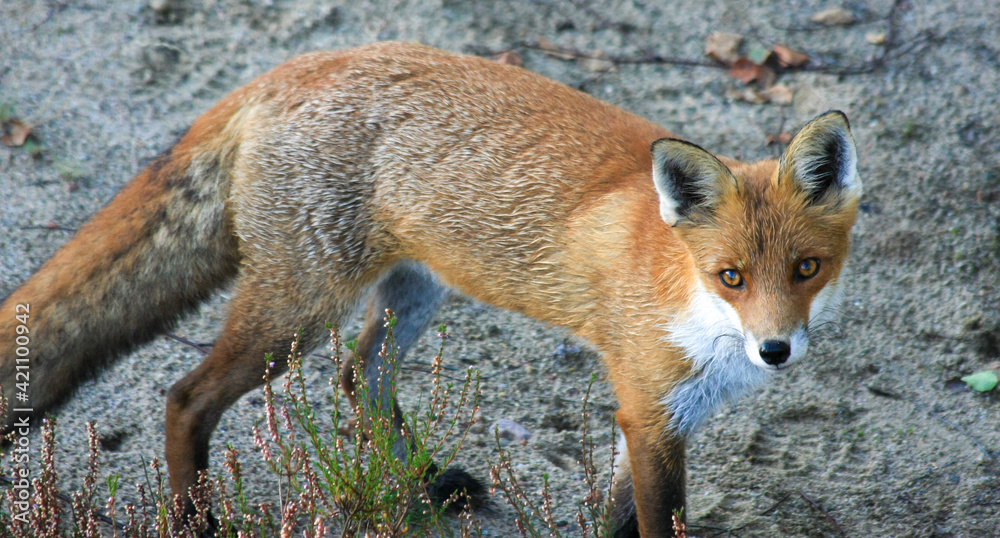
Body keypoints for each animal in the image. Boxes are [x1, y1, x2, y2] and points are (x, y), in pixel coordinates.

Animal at [0, 41, 861, 536]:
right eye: (731, 276)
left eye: (806, 270)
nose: (775, 350)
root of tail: (293, 66)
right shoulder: (649, 410)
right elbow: (657, 522)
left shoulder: (653, 418)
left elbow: (620, 517)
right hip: (300, 308)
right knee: (186, 397)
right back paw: (196, 520)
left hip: (413, 291)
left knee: (361, 377)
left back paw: (419, 489)